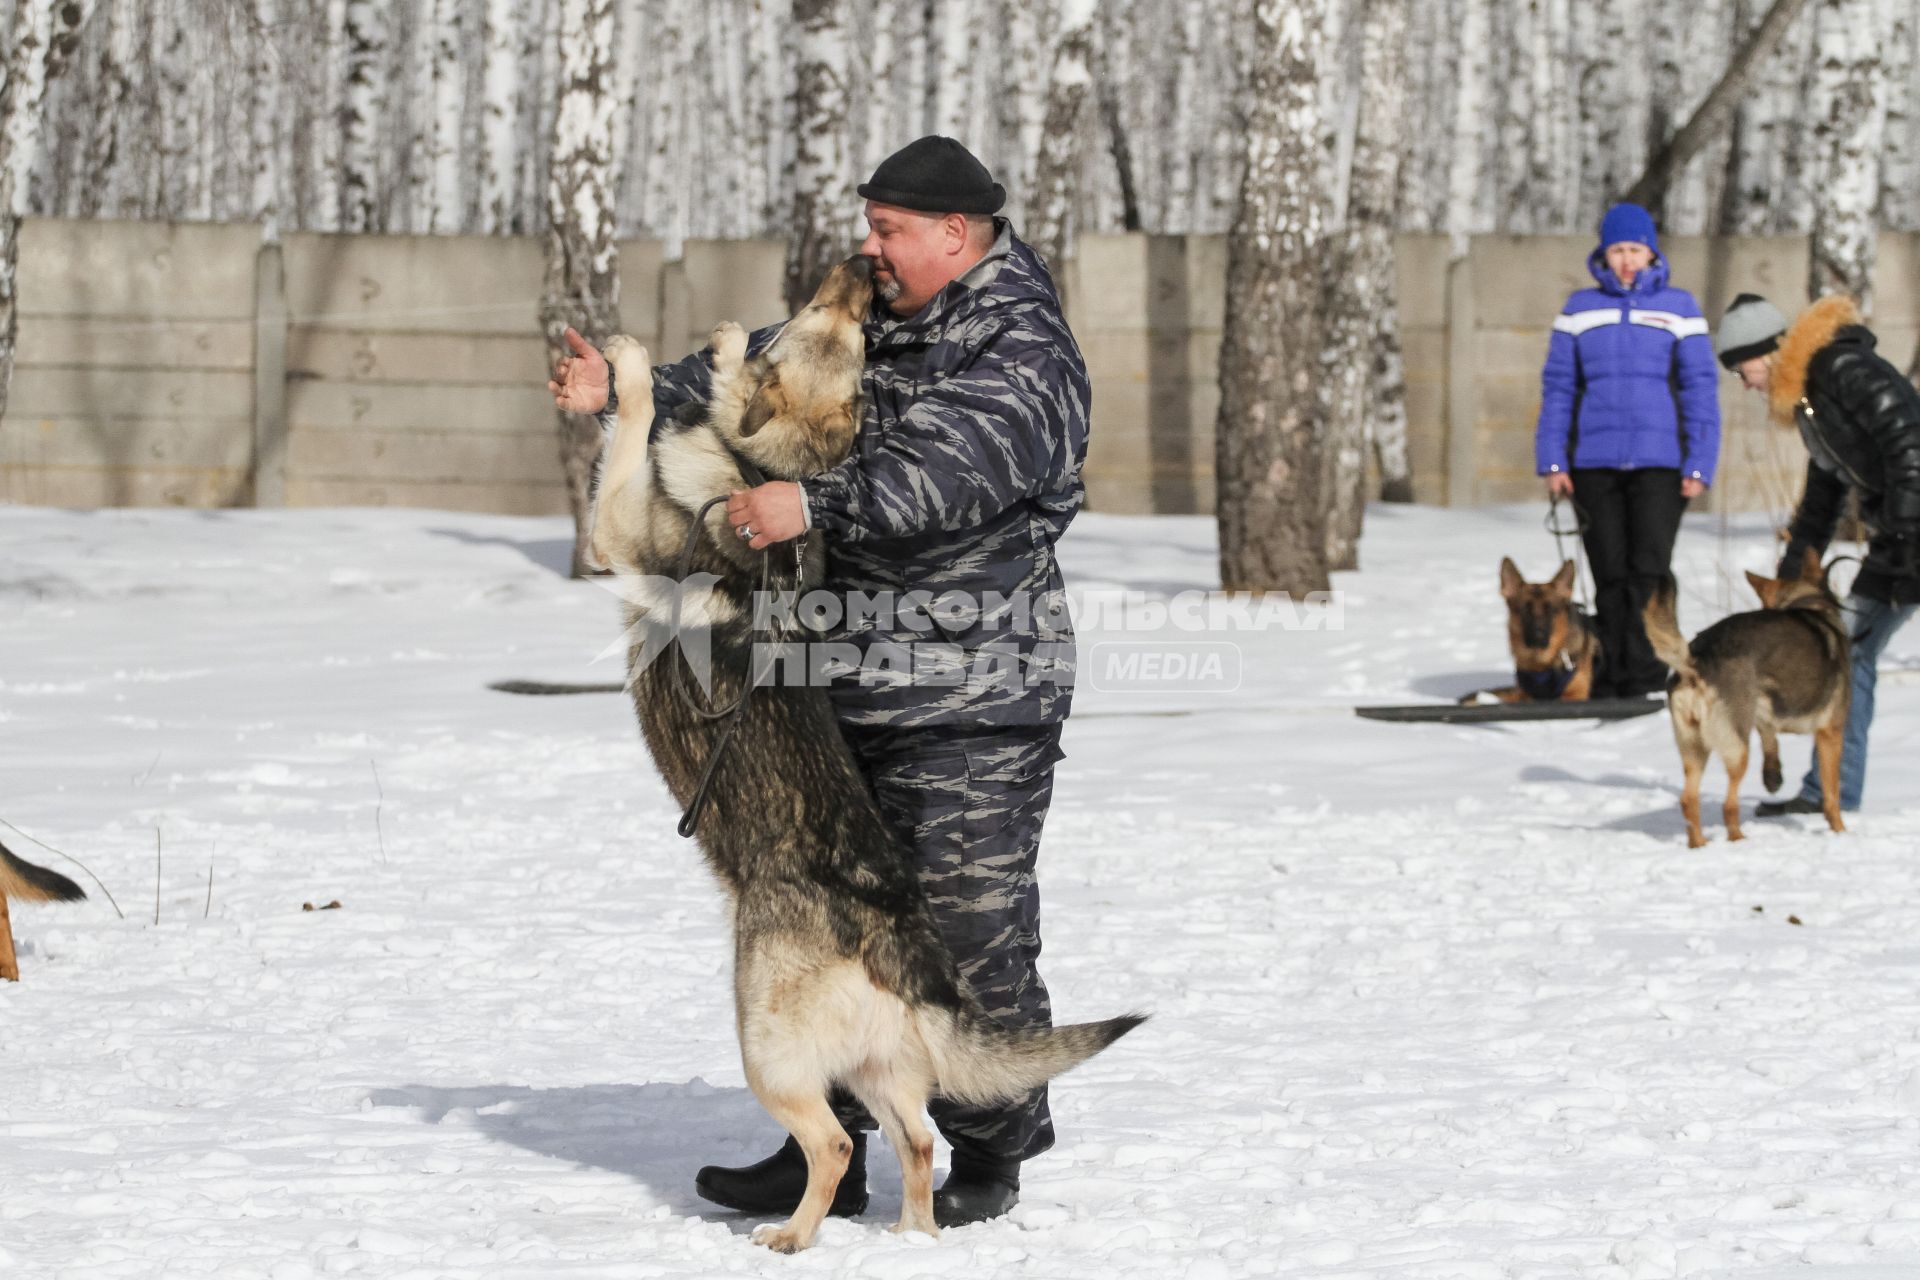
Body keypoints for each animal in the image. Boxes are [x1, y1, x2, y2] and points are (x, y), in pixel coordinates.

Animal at [583, 255, 1136, 1258]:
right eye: (837, 325)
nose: (862, 270)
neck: (760, 471)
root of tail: (899, 937)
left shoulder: (614, 536)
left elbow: (635, 425)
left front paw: (640, 363)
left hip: (768, 1048)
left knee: (839, 1143)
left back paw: (793, 1236)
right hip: (881, 1066)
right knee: (914, 1140)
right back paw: (913, 1239)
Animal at [1459, 556, 1597, 706]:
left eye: (1551, 610)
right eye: (1525, 610)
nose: (1538, 634)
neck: (1539, 664)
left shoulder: (1576, 695)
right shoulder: (1526, 695)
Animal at [1643, 552, 1850, 852]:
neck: (1807, 602)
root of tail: (1695, 661)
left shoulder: (1764, 714)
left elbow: (1771, 741)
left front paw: (1773, 778)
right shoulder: (1830, 732)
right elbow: (1832, 794)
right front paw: (1841, 831)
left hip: (1694, 746)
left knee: (1688, 800)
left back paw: (1700, 845)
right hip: (1736, 749)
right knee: (1729, 805)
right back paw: (1738, 840)